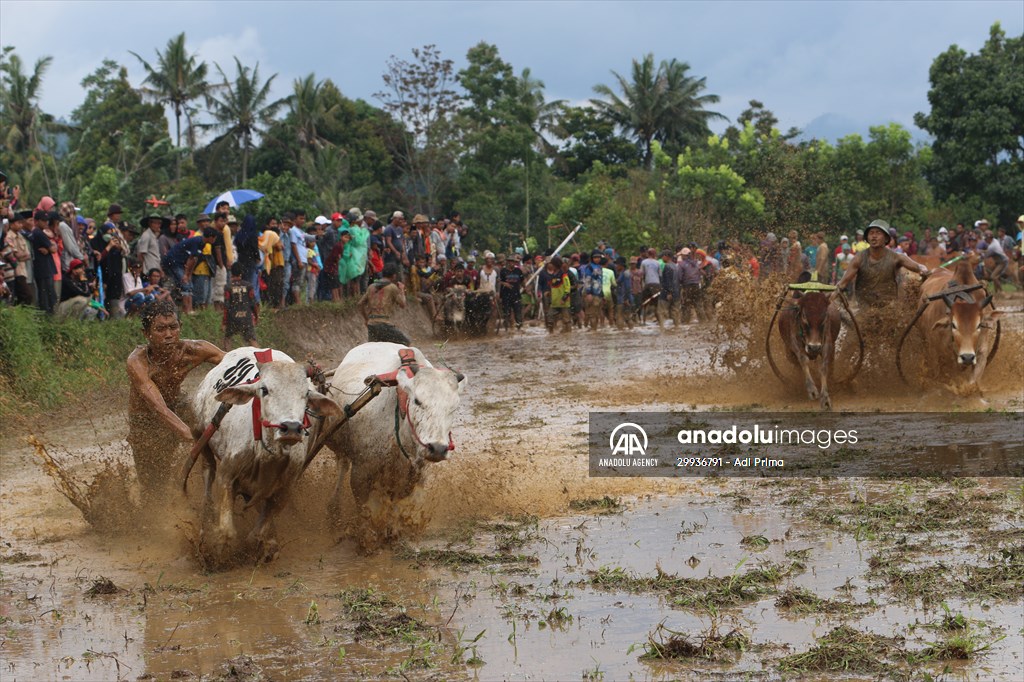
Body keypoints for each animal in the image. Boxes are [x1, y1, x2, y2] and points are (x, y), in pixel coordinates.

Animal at [193, 348, 346, 561]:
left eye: (306, 393)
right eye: (264, 390)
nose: (291, 428)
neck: (268, 454)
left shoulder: (285, 489)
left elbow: (256, 534)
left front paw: (265, 547)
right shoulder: (227, 474)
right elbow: (226, 531)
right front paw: (213, 555)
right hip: (200, 434)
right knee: (208, 472)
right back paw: (204, 520)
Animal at [321, 342, 466, 544]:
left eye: (453, 407)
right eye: (417, 400)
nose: (437, 448)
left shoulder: (415, 474)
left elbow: (397, 506)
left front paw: (394, 532)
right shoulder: (361, 472)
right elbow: (367, 510)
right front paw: (368, 538)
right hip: (339, 446)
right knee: (342, 465)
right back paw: (333, 510)